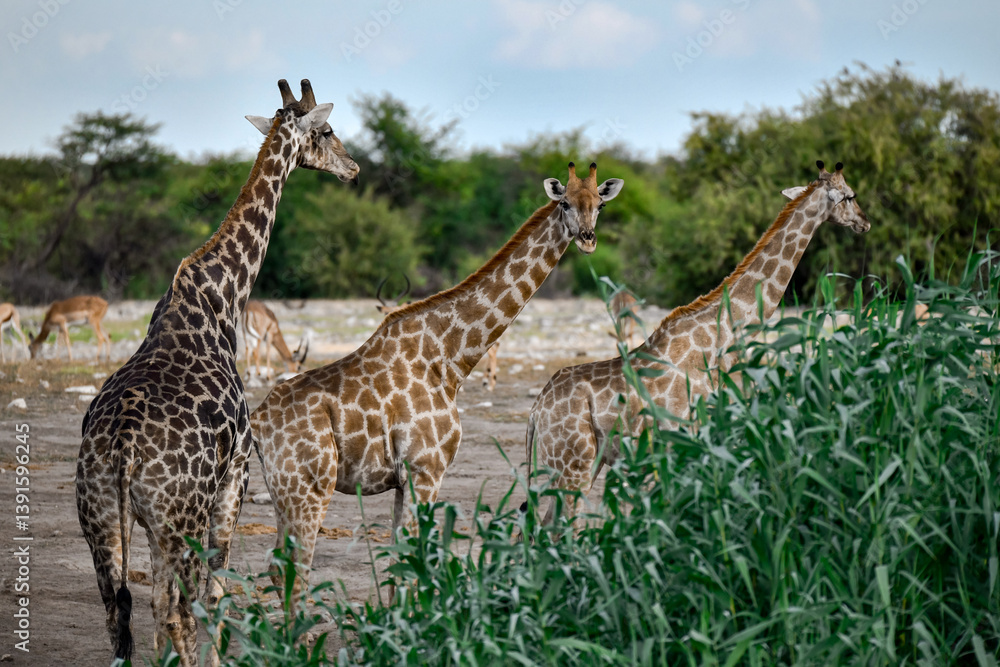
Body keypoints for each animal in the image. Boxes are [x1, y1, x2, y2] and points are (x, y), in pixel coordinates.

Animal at [74, 79, 359, 666]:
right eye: (325, 131)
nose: (353, 168)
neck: (223, 293)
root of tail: (122, 450)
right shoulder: (236, 475)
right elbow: (218, 592)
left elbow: (159, 606)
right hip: (178, 516)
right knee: (178, 610)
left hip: (102, 518)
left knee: (122, 613)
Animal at [252, 162, 624, 595]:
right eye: (564, 203)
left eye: (599, 203)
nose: (587, 239)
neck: (450, 360)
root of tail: (257, 424)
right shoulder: (426, 470)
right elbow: (414, 564)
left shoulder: (404, 479)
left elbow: (400, 564)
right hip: (309, 489)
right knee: (294, 569)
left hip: (284, 492)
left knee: (274, 565)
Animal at [526, 161, 870, 523]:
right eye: (850, 195)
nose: (865, 222)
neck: (719, 336)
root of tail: (535, 412)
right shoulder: (687, 435)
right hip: (574, 464)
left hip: (580, 464)